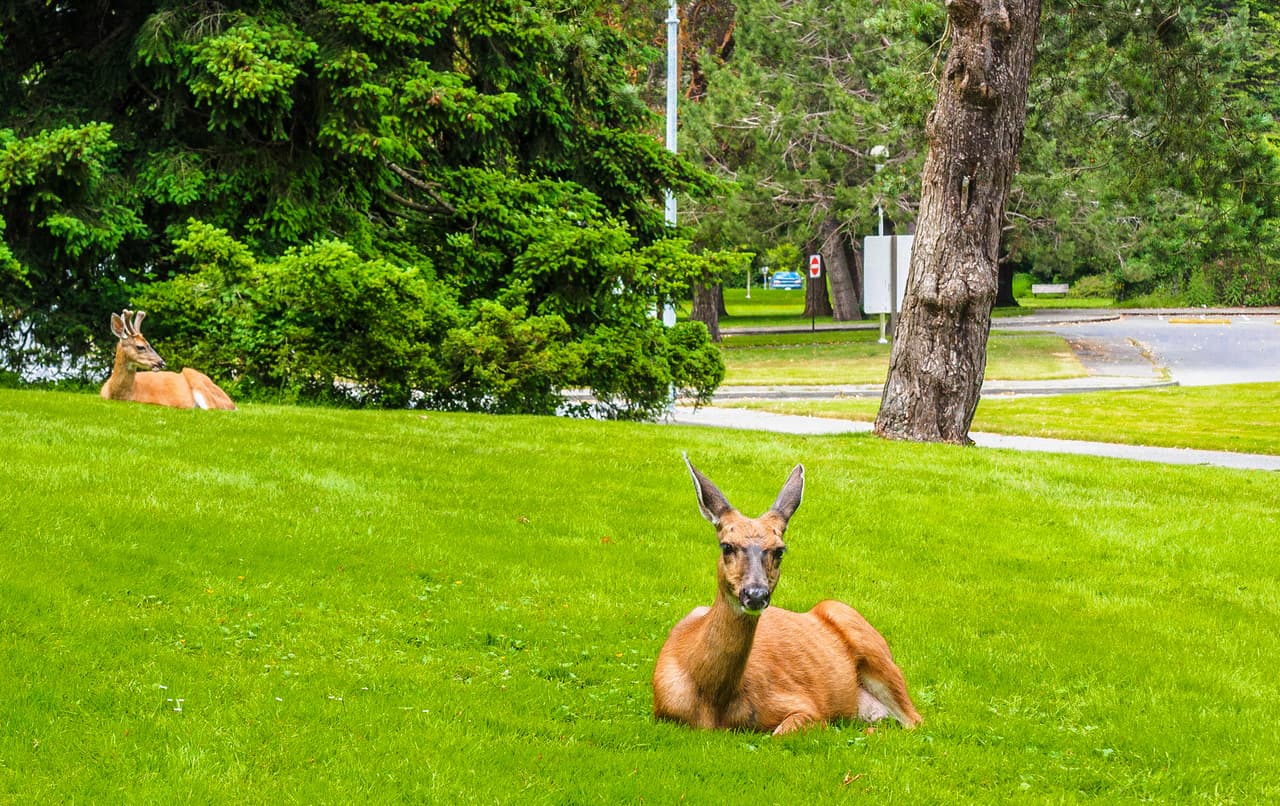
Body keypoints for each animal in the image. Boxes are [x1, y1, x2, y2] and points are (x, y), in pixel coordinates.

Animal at [652, 455, 921, 735]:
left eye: (780, 550)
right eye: (727, 546)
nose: (756, 595)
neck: (712, 705)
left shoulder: (805, 705)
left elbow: (781, 731)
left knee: (914, 720)